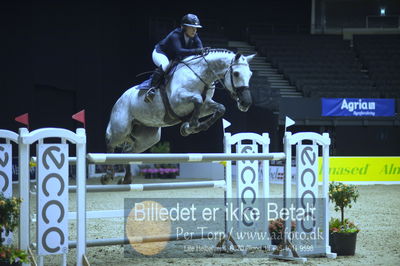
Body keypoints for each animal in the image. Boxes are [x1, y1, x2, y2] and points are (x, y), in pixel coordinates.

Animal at [101, 48, 255, 184]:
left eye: (250, 74)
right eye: (236, 73)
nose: (246, 103)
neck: (201, 75)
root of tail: (120, 99)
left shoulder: (205, 106)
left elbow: (220, 108)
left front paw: (193, 127)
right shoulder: (177, 100)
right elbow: (197, 100)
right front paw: (190, 126)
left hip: (148, 138)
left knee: (128, 152)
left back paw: (126, 179)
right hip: (121, 129)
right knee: (110, 143)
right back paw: (107, 176)